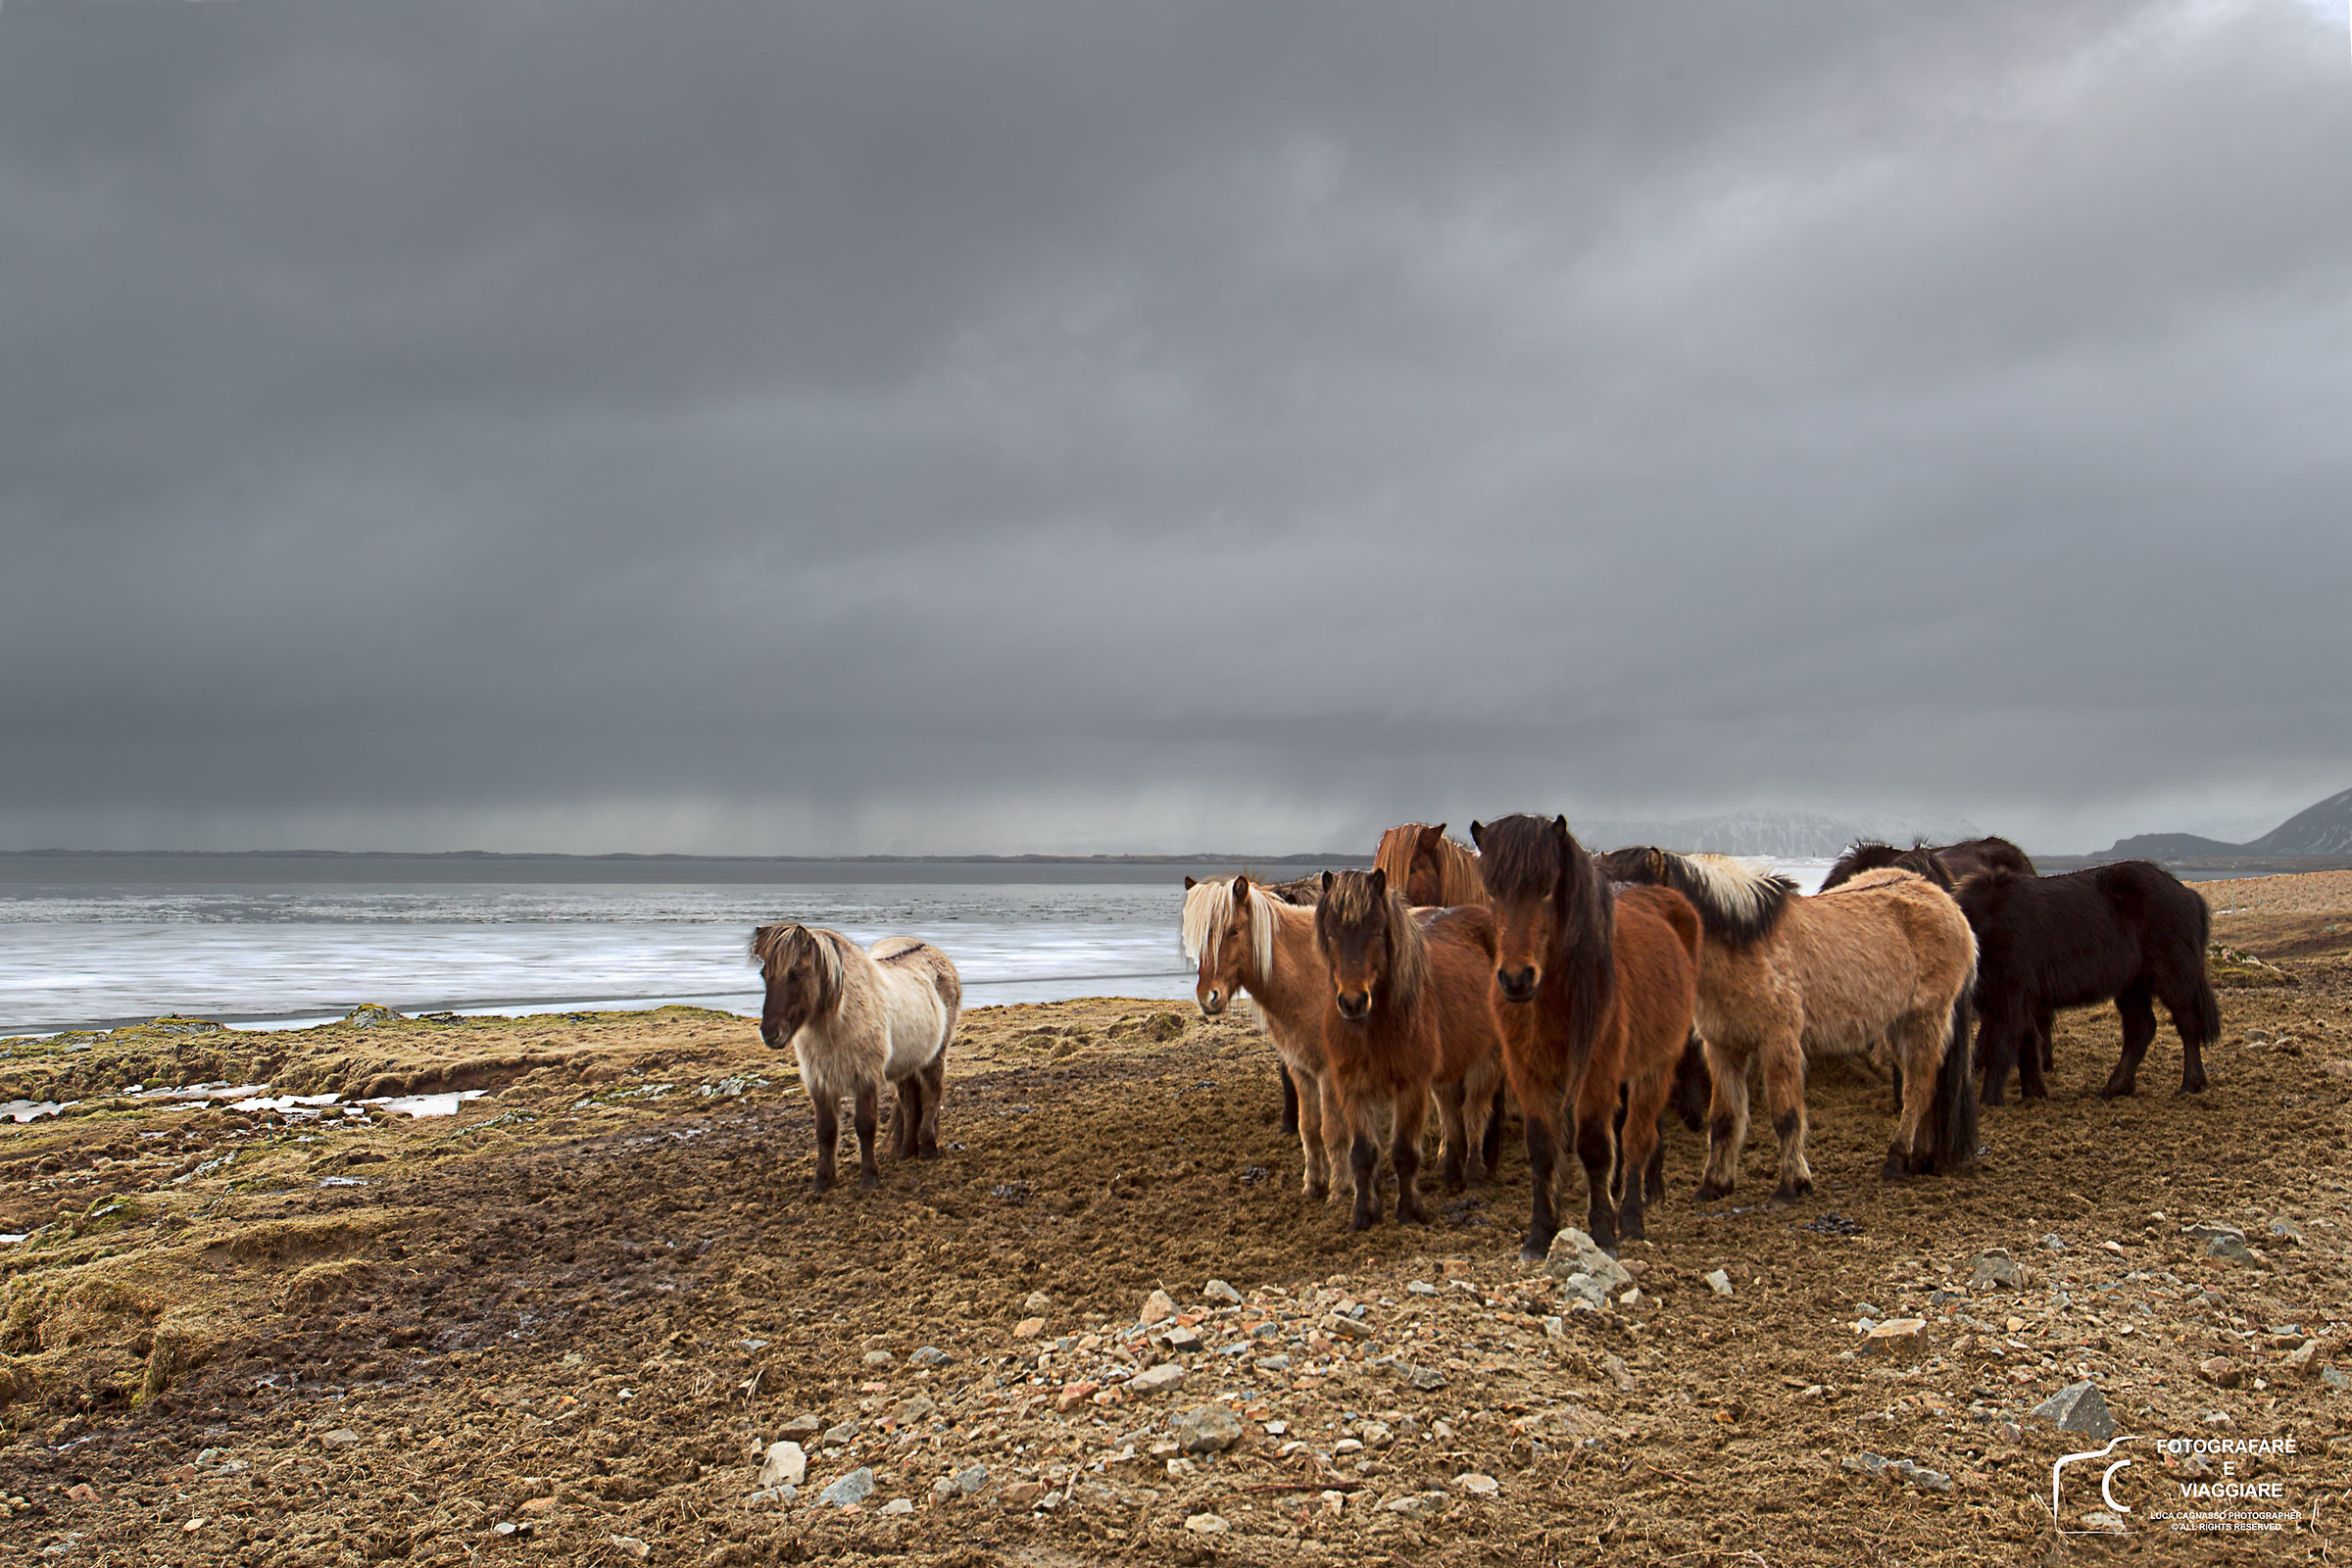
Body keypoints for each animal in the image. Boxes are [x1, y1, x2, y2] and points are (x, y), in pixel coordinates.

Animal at [749, 924, 960, 1191]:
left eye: (796, 974)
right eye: (764, 974)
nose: (770, 1034)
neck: (839, 1018)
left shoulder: (865, 1078)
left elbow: (865, 1126)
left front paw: (869, 1177)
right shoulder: (819, 1082)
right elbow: (826, 1130)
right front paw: (823, 1181)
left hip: (934, 1058)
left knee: (932, 1096)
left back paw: (928, 1148)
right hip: (908, 1063)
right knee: (910, 1103)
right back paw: (906, 1152)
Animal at [1313, 869, 1506, 1229]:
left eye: (1377, 929)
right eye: (1331, 932)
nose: (1353, 1002)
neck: (1372, 1028)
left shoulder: (1411, 1087)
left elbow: (1404, 1151)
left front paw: (1407, 1211)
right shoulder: (1353, 1089)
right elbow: (1362, 1154)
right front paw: (1363, 1214)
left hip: (1485, 1061)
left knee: (1475, 1114)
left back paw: (1473, 1175)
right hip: (1448, 1071)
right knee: (1451, 1115)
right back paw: (1451, 1174)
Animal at [1470, 815, 1701, 1259]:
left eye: (1547, 888)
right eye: (1491, 890)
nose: (1516, 979)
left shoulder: (1596, 1072)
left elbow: (1595, 1146)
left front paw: (1604, 1233)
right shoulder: (1529, 1073)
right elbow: (1543, 1150)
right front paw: (1539, 1235)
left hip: (1654, 1069)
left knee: (1637, 1140)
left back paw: (1632, 1219)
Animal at [1594, 848, 1978, 1205]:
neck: (1744, 947)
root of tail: (1943, 900)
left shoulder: (1778, 1043)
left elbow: (1786, 1115)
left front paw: (1792, 1185)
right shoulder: (1723, 1049)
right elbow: (1724, 1118)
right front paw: (1714, 1185)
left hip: (1924, 1021)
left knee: (1918, 1089)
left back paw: (1897, 1159)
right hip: (1898, 1028)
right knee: (1929, 1087)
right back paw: (1922, 1159)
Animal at [1825, 846, 2220, 1103]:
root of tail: (2189, 895)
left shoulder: (2010, 999)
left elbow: (2001, 1046)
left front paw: (1990, 1098)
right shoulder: (2018, 1001)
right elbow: (2026, 1044)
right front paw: (2034, 1092)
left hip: (2173, 976)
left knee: (2187, 1025)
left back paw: (2190, 1084)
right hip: (2131, 986)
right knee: (2141, 1030)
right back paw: (2114, 1088)